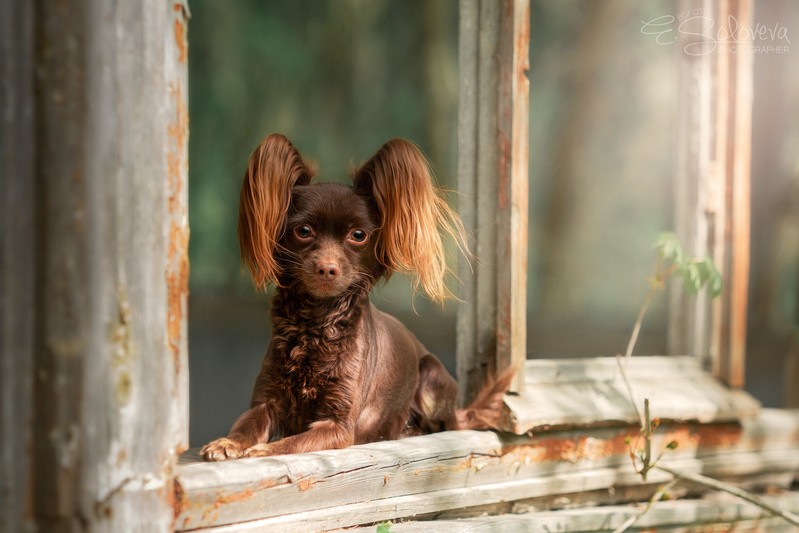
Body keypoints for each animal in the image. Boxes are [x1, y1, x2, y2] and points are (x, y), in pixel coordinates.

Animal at [202, 135, 512, 460]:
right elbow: (247, 423)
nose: (327, 268)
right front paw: (227, 443)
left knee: (447, 425)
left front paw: (262, 450)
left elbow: (293, 443)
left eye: (359, 235)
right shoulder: (267, 400)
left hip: (430, 375)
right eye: (303, 231)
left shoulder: (339, 426)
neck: (317, 322)